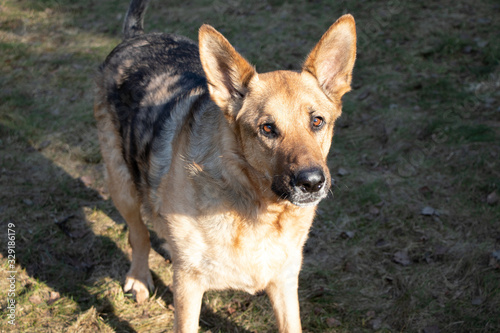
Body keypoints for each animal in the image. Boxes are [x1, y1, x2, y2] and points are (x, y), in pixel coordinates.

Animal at [94, 0, 358, 330]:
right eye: (267, 128)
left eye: (317, 121)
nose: (311, 182)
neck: (258, 209)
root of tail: (137, 37)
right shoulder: (188, 285)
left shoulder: (284, 282)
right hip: (122, 187)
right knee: (138, 233)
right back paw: (139, 278)